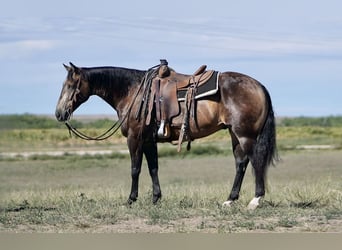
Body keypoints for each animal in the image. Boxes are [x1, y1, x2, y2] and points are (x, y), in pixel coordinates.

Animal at [54, 60, 276, 209]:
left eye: (71, 86)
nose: (59, 113)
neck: (133, 92)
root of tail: (259, 86)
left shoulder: (134, 138)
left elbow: (135, 169)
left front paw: (131, 199)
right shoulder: (148, 141)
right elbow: (153, 168)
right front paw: (156, 198)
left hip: (245, 135)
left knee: (255, 161)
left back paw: (255, 200)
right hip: (234, 134)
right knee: (241, 163)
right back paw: (230, 199)